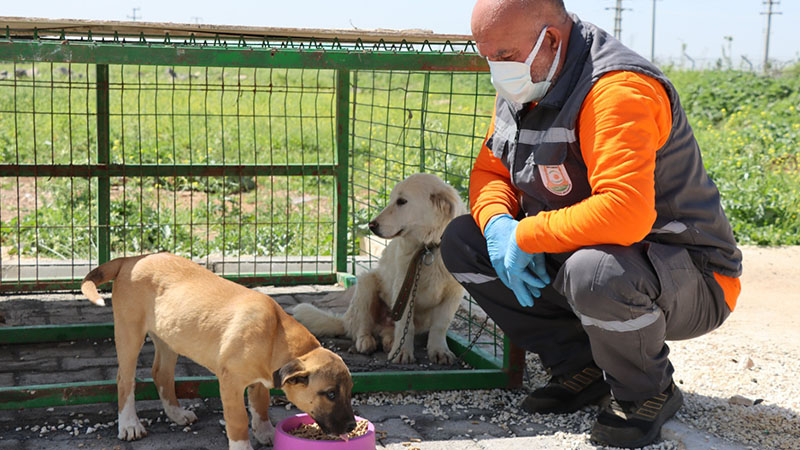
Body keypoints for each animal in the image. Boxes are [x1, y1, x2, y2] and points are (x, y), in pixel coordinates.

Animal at [81, 253, 354, 450]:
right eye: (330, 394)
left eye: (349, 391)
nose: (351, 426)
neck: (275, 334)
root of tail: (130, 259)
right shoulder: (231, 382)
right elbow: (239, 420)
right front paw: (243, 446)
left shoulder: (260, 380)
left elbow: (260, 406)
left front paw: (266, 433)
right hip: (129, 331)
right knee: (124, 379)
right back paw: (129, 425)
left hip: (168, 338)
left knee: (161, 374)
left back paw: (177, 414)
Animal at [294, 173, 468, 366]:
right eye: (392, 199)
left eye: (401, 201)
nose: (371, 225)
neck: (429, 248)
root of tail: (346, 319)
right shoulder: (404, 287)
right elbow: (405, 326)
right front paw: (402, 353)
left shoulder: (454, 293)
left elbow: (440, 325)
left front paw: (439, 351)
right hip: (366, 283)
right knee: (362, 326)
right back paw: (366, 341)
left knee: (388, 331)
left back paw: (389, 341)